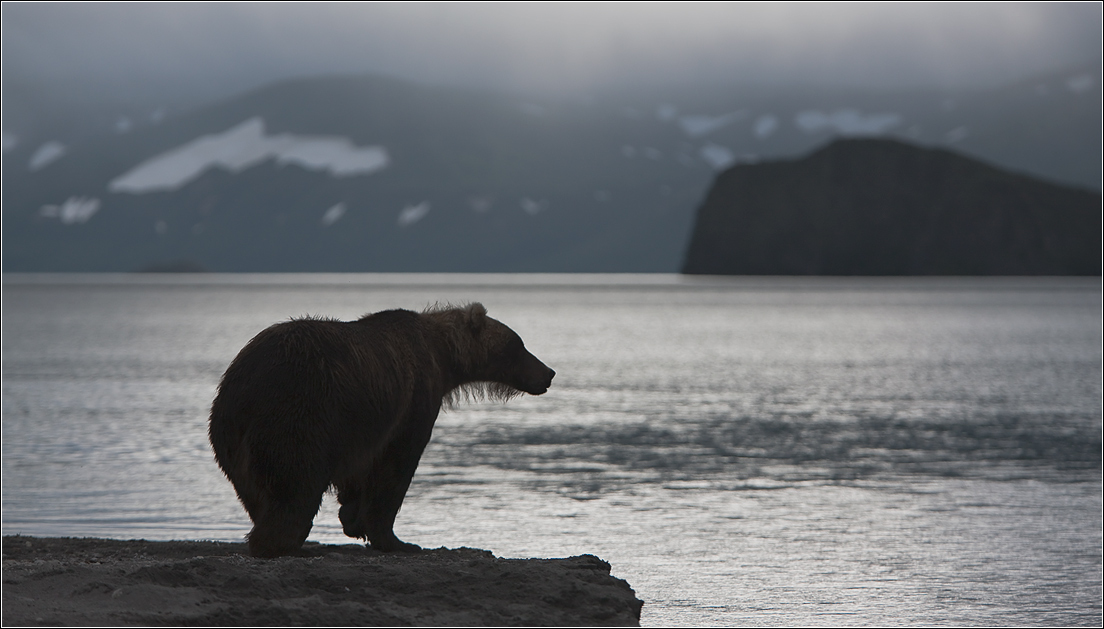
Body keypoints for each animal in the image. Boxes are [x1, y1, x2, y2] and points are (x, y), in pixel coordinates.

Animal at [207, 300, 552, 556]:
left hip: (230, 436)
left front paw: (351, 515)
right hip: (299, 410)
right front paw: (396, 539)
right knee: (295, 485)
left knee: (255, 493)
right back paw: (284, 544)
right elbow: (396, 467)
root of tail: (241, 385)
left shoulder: (364, 430)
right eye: (518, 344)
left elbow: (361, 471)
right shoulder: (413, 399)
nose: (548, 373)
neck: (443, 356)